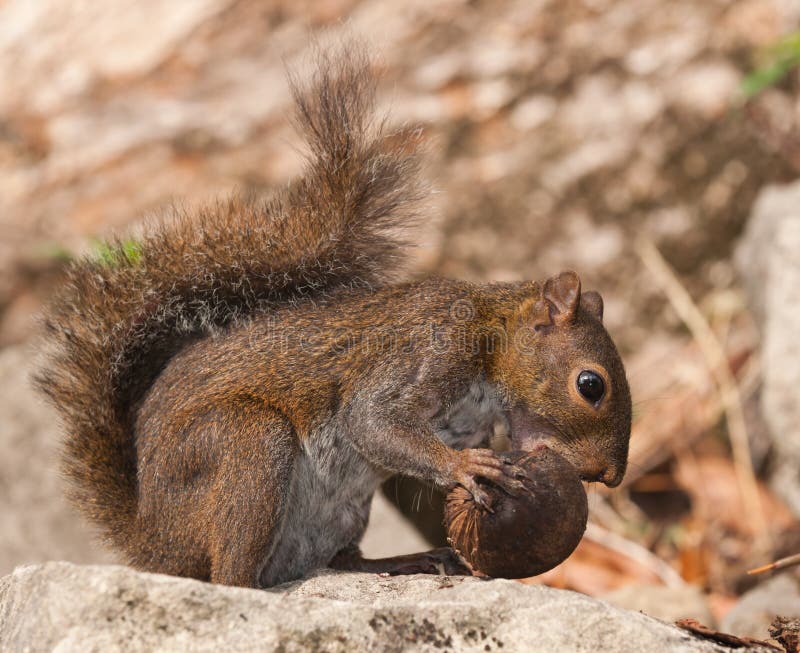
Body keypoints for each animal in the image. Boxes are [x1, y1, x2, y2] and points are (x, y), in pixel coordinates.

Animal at [35, 45, 632, 589]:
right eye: (591, 385)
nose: (607, 476)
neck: (491, 335)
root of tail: (155, 546)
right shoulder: (433, 347)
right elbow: (372, 419)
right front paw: (466, 469)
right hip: (246, 446)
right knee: (231, 575)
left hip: (342, 510)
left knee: (337, 561)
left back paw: (404, 560)